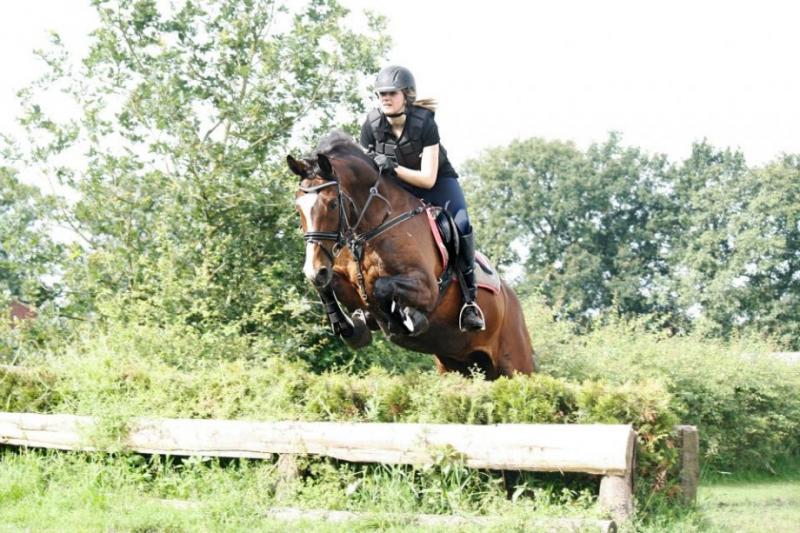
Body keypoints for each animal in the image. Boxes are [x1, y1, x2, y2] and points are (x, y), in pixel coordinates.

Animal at [288, 131, 535, 379]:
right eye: (298, 208)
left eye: (331, 204)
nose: (314, 269)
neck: (374, 225)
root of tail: (514, 302)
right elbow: (327, 287)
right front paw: (351, 328)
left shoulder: (428, 287)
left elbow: (382, 287)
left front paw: (407, 319)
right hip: (456, 365)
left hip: (516, 365)